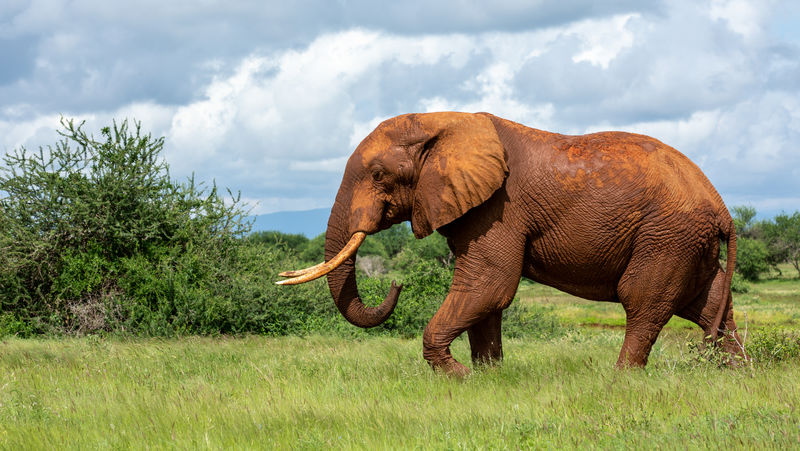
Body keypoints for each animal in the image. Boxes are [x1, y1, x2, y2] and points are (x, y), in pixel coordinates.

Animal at [280, 111, 744, 376]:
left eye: (378, 176)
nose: (397, 284)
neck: (439, 122)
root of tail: (722, 204)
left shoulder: (499, 207)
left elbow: (489, 285)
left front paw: (459, 377)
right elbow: (485, 295)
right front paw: (489, 378)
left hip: (666, 235)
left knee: (643, 301)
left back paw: (621, 379)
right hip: (686, 241)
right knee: (709, 304)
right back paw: (736, 373)